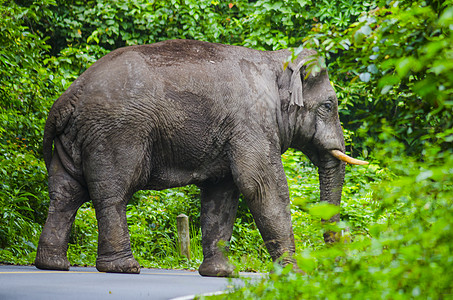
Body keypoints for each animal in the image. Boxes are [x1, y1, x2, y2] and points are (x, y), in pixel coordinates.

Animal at [35, 39, 368, 276]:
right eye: (328, 105)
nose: (335, 266)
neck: (276, 61)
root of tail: (67, 97)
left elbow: (222, 194)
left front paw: (221, 274)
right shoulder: (252, 122)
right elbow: (262, 186)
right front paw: (295, 274)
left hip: (76, 138)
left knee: (65, 194)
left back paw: (53, 265)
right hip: (116, 134)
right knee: (112, 194)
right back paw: (123, 268)